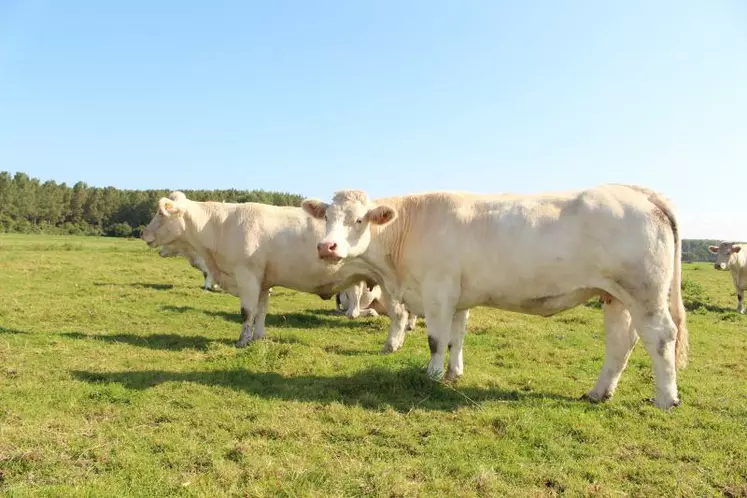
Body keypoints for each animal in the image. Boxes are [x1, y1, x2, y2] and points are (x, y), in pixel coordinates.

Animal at [140, 192, 414, 350]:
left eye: (160, 213)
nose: (143, 233)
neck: (220, 226)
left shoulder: (247, 276)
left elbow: (247, 312)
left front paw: (242, 341)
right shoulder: (262, 281)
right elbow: (261, 311)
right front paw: (258, 337)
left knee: (399, 314)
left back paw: (392, 344)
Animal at [304, 183, 688, 408]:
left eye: (358, 220)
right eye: (328, 217)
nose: (326, 246)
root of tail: (638, 191)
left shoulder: (438, 289)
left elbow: (435, 339)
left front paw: (432, 376)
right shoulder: (459, 296)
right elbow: (457, 337)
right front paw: (453, 374)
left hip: (644, 292)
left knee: (661, 338)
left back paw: (666, 399)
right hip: (616, 296)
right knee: (621, 342)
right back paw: (598, 393)